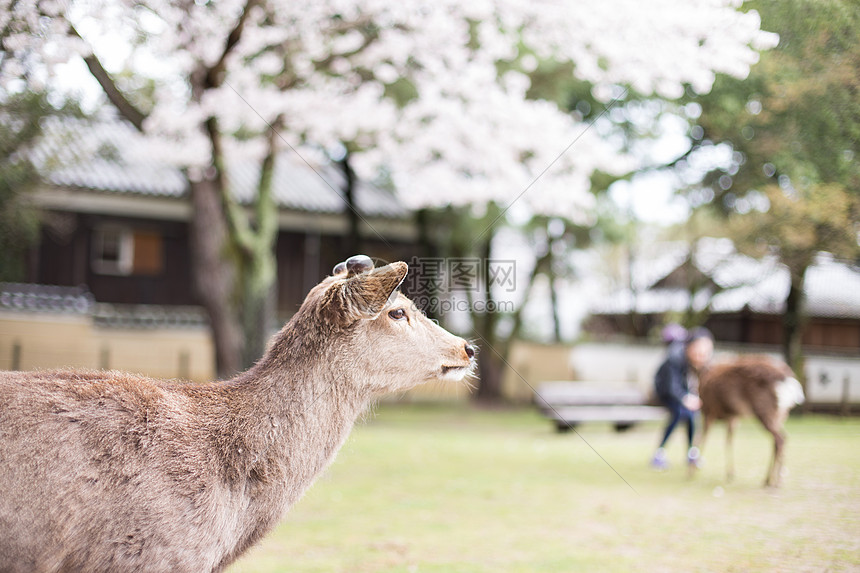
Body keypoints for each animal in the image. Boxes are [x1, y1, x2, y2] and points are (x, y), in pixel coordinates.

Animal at [700, 356, 808, 484]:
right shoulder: (732, 417)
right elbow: (728, 441)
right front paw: (730, 473)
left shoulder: (709, 410)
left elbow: (702, 438)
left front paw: (692, 470)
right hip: (781, 414)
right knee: (781, 438)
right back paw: (772, 479)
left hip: (764, 409)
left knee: (779, 439)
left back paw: (773, 482)